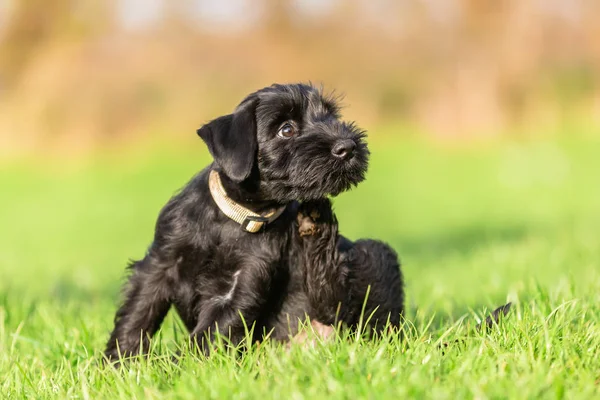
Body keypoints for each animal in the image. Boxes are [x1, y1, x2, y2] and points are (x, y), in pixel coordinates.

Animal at [104, 83, 404, 360]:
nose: (348, 147)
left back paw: (318, 221)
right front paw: (118, 363)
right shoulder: (159, 264)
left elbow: (212, 330)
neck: (233, 219)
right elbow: (138, 313)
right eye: (286, 130)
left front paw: (181, 368)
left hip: (373, 254)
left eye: (330, 116)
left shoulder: (245, 280)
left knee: (345, 308)